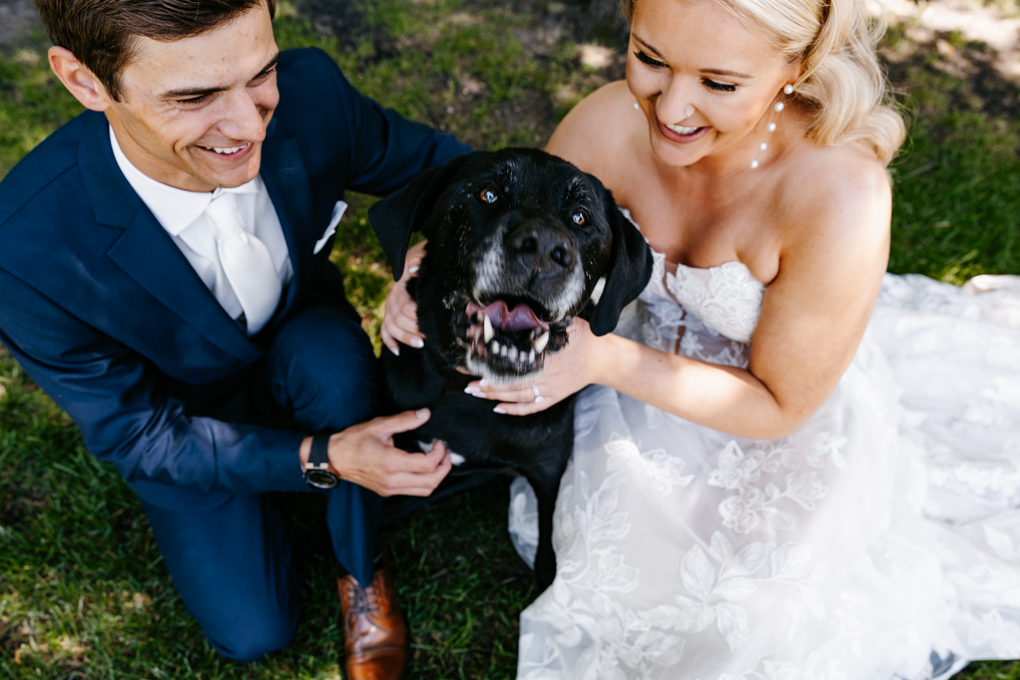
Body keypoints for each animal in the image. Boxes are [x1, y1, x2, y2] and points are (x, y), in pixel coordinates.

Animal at [371, 149, 648, 591]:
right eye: (487, 193)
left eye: (580, 218)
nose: (544, 248)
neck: (467, 391)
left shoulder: (547, 473)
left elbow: (547, 549)